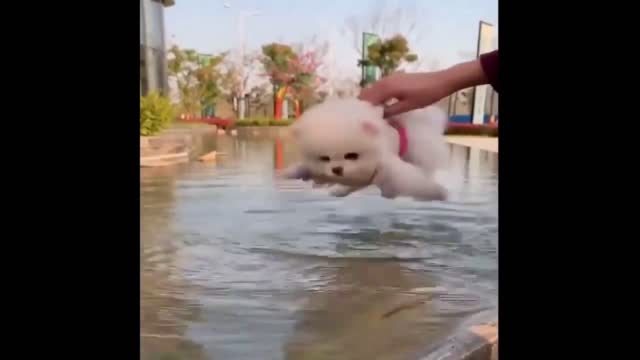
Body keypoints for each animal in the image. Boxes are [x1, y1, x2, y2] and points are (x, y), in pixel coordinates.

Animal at [284, 97, 450, 201]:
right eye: (324, 158)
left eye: (351, 155)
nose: (337, 169)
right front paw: (291, 172)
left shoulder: (387, 166)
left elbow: (410, 180)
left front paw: (439, 193)